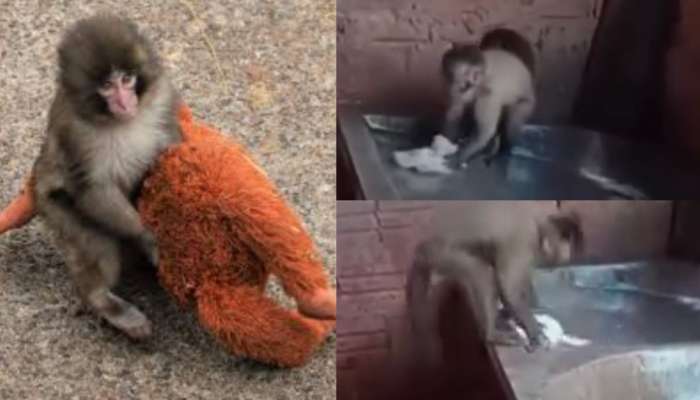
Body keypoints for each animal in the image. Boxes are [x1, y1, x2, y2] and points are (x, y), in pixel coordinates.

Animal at [31, 15, 182, 340]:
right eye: (107, 86)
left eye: (126, 79)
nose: (126, 103)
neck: (119, 122)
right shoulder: (73, 131)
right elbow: (92, 189)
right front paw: (148, 237)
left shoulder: (163, 97)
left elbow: (172, 148)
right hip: (54, 208)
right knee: (96, 243)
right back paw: (103, 301)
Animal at [406, 211, 583, 353]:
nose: (552, 266)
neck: (537, 223)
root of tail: (422, 247)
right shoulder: (523, 241)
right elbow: (508, 287)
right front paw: (534, 331)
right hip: (441, 254)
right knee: (482, 273)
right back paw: (491, 334)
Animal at [440, 28, 536, 168]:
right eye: (467, 75)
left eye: (475, 74)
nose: (473, 81)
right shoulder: (456, 86)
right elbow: (455, 113)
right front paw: (446, 143)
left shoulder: (490, 91)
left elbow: (486, 131)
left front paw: (461, 156)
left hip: (526, 103)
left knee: (513, 119)